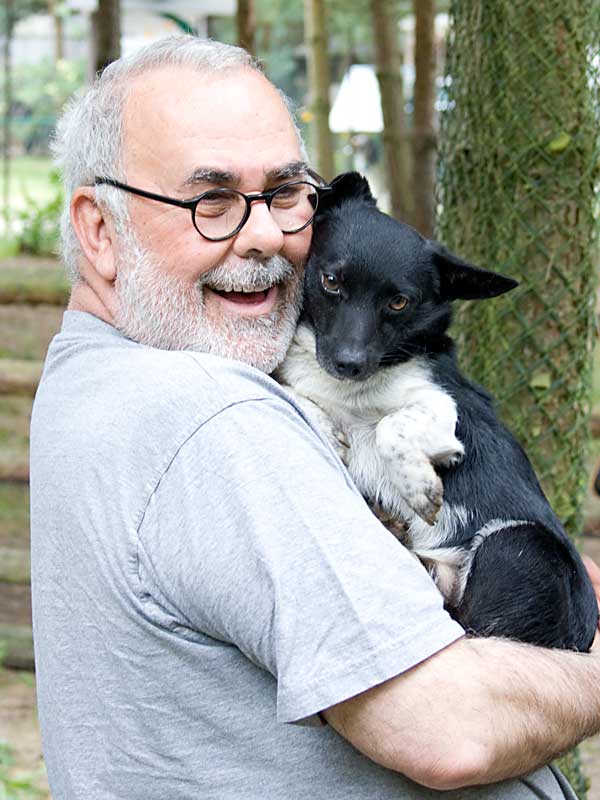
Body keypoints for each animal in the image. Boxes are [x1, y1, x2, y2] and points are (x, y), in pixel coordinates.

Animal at [277, 172, 598, 651]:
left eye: (399, 302)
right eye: (331, 280)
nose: (349, 363)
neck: (349, 391)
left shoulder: (442, 406)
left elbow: (391, 425)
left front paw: (420, 487)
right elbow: (289, 390)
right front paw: (323, 424)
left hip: (515, 543)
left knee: (475, 624)